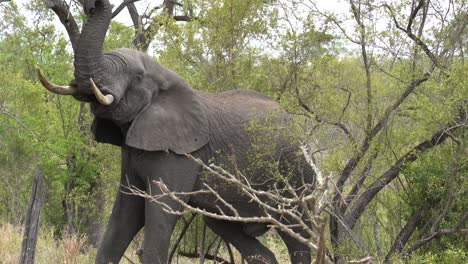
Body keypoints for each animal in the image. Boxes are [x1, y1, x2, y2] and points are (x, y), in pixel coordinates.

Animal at [36, 1, 314, 262]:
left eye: (137, 77)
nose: (90, 6)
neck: (165, 77)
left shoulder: (180, 153)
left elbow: (159, 212)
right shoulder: (132, 148)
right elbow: (125, 214)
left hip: (296, 169)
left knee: (298, 234)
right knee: (235, 232)